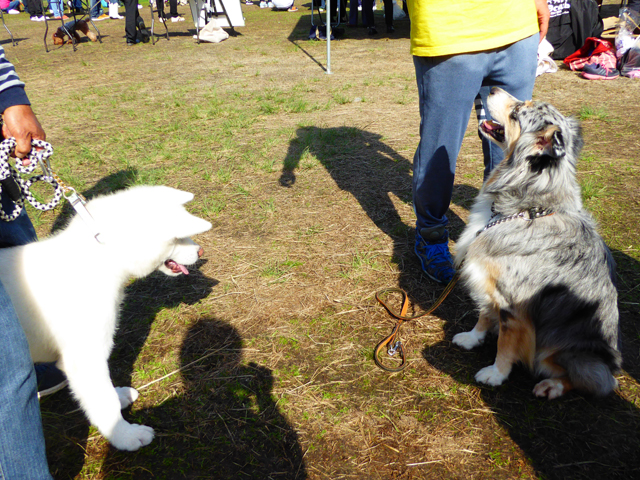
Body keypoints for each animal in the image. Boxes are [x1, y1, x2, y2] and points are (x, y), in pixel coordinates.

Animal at [0, 187, 212, 450]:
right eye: (179, 238)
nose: (201, 251)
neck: (102, 257)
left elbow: (107, 391)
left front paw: (120, 396)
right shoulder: (85, 359)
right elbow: (104, 401)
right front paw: (125, 435)